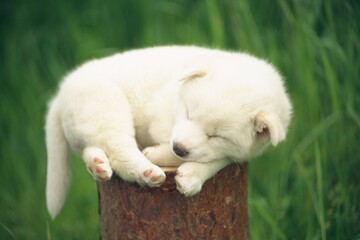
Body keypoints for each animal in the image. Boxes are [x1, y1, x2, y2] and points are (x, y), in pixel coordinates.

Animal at [45, 46, 292, 218]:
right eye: (189, 113)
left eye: (215, 136)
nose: (179, 148)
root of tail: (61, 94)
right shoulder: (161, 120)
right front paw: (160, 155)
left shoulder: (240, 152)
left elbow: (220, 157)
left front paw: (192, 175)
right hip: (104, 105)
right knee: (119, 149)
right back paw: (146, 171)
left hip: (89, 121)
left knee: (96, 147)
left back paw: (97, 165)